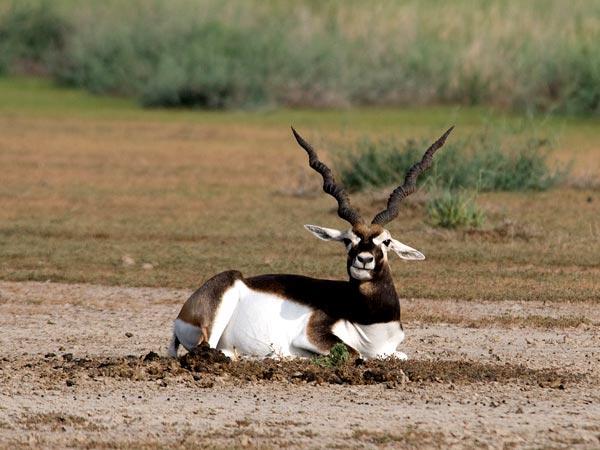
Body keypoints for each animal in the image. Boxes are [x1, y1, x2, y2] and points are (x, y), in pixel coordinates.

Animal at [166, 125, 452, 358]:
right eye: (347, 240)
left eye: (387, 242)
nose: (364, 259)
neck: (368, 321)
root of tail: (182, 314)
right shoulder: (312, 335)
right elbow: (355, 353)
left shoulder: (391, 350)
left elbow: (400, 356)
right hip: (220, 307)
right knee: (210, 349)